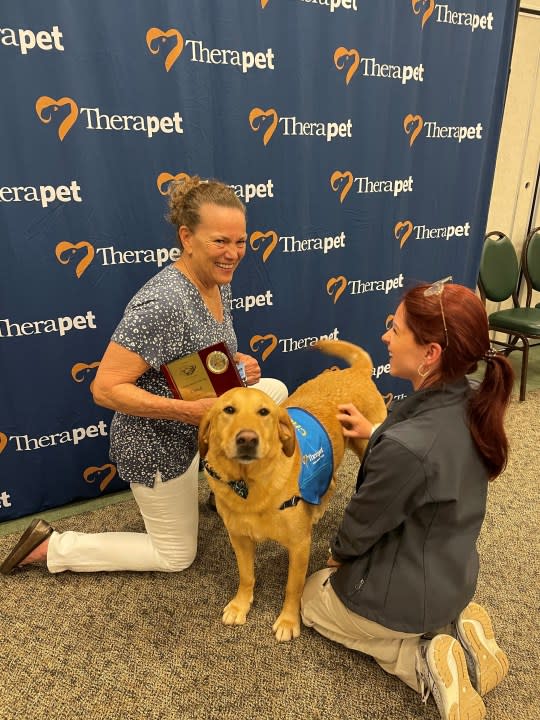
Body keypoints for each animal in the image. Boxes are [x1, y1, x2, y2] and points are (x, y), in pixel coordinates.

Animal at [200, 338, 386, 640]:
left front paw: (288, 621)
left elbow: (292, 588)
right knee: (331, 482)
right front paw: (241, 605)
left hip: (367, 444)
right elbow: (246, 575)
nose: (247, 439)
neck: (251, 486)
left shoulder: (299, 546)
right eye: (228, 410)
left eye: (264, 412)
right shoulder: (239, 538)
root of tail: (355, 372)